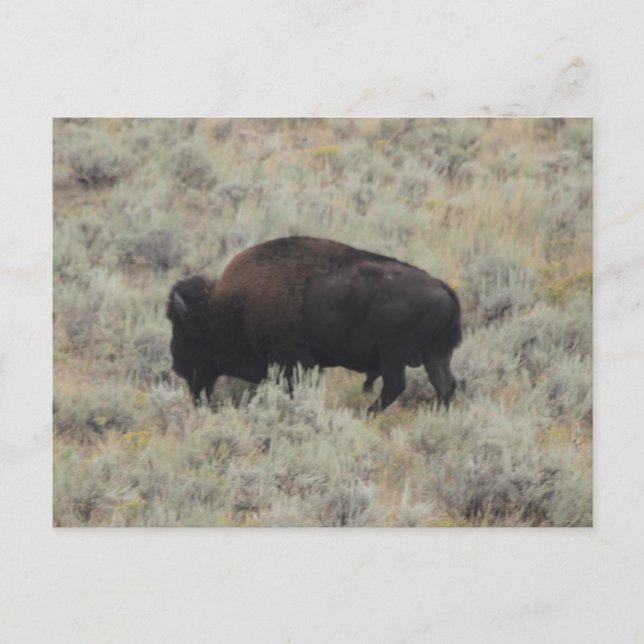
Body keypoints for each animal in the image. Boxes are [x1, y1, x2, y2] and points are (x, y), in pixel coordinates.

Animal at [167, 236, 461, 413]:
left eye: (183, 331)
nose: (177, 367)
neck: (230, 304)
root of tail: (442, 288)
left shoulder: (293, 362)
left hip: (394, 353)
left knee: (395, 385)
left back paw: (366, 414)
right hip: (436, 354)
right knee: (444, 384)